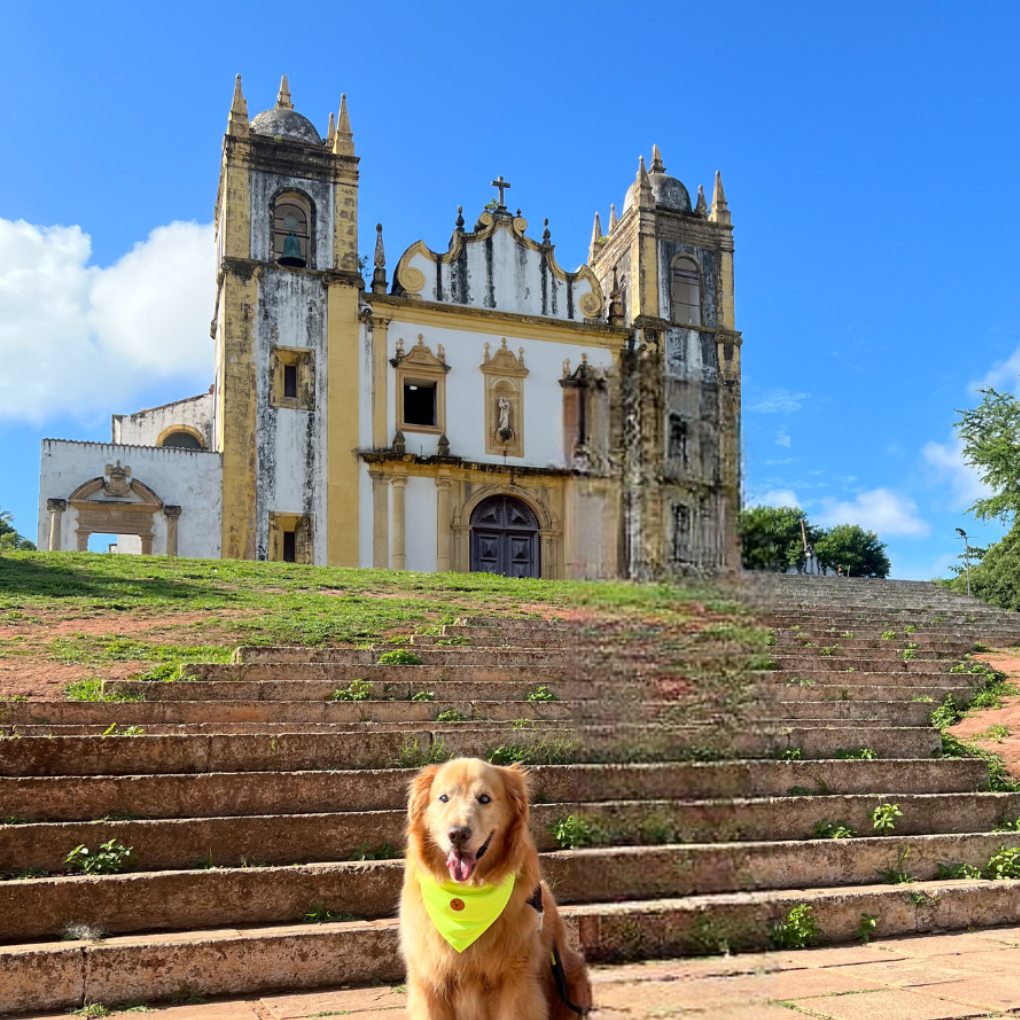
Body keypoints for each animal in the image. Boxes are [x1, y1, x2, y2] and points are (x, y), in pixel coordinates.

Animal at [397, 758, 591, 1020]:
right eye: (444, 798)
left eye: (485, 798)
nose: (458, 834)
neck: (466, 899)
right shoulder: (428, 981)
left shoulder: (515, 982)